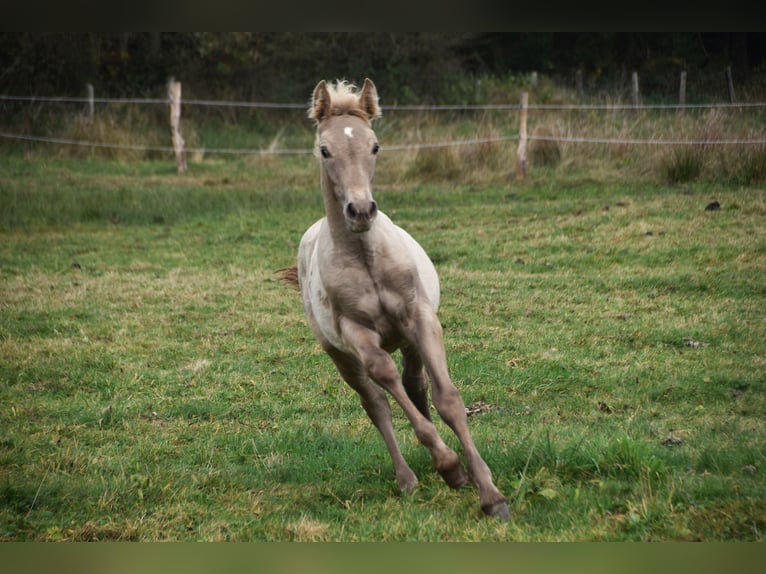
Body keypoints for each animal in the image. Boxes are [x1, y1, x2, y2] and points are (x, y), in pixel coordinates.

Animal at [292, 79, 508, 524]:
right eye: (325, 150)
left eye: (375, 146)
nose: (360, 210)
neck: (365, 256)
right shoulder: (358, 336)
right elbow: (386, 382)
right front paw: (450, 466)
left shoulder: (421, 318)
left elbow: (448, 400)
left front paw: (489, 492)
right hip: (339, 355)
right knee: (377, 404)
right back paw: (409, 478)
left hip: (407, 340)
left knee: (415, 386)